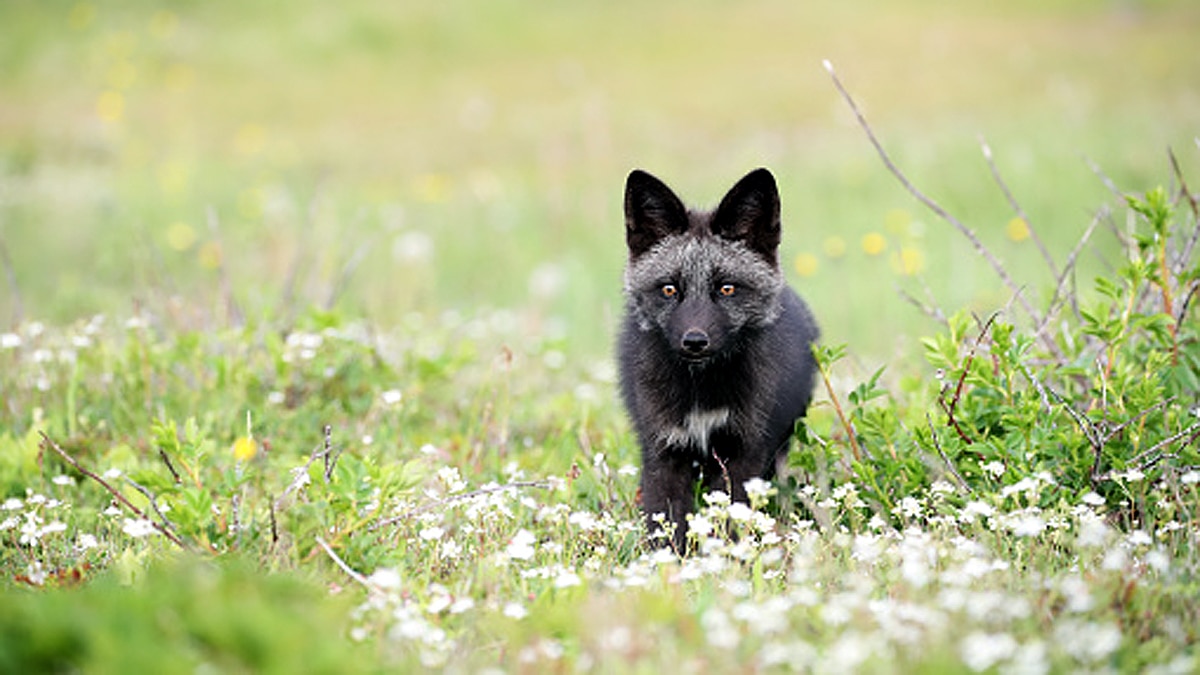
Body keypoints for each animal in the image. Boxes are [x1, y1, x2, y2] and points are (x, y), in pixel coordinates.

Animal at [617, 167, 819, 552]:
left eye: (727, 289)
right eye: (669, 290)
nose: (695, 341)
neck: (701, 388)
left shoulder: (742, 453)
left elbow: (731, 520)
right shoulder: (663, 451)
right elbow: (667, 526)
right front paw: (669, 565)